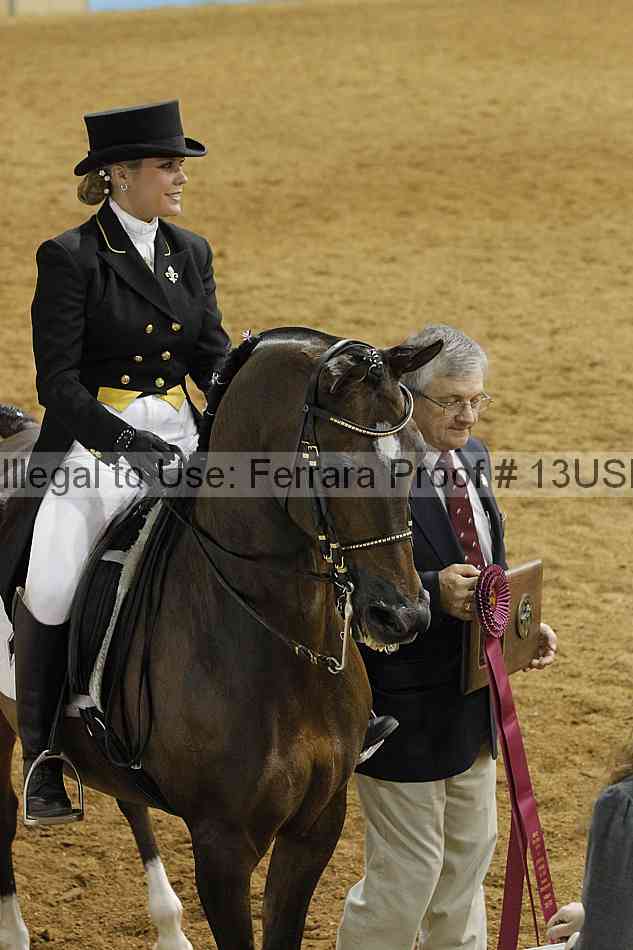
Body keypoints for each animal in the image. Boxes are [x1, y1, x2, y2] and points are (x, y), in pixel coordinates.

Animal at [0, 328, 440, 949]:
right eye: (335, 472)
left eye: (417, 459)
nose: (401, 616)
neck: (282, 644)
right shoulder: (221, 847)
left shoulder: (317, 825)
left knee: (128, 801)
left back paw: (168, 925)